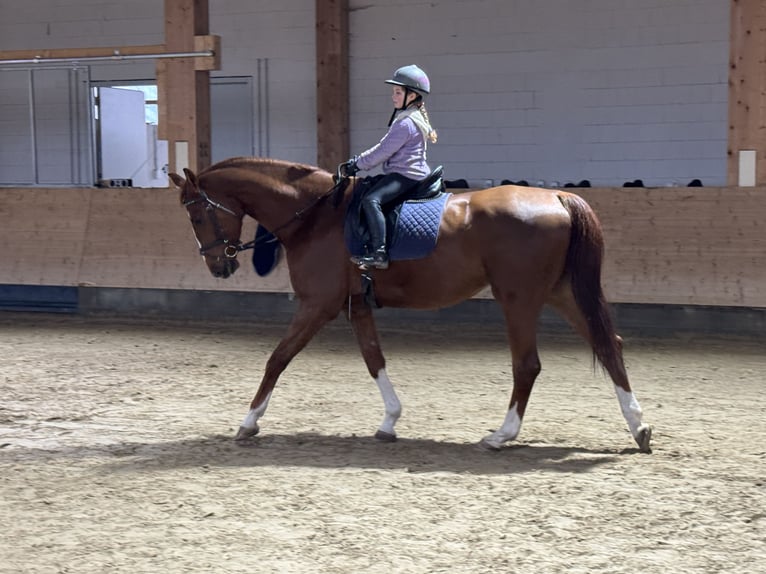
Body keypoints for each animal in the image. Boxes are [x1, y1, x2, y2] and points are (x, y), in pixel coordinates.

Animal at [170, 157, 652, 453]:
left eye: (196, 214)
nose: (218, 266)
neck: (316, 216)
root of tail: (556, 197)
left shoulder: (317, 305)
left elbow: (278, 359)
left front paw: (249, 422)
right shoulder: (355, 306)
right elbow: (373, 359)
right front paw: (389, 422)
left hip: (519, 299)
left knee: (528, 364)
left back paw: (502, 435)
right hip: (560, 293)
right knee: (610, 345)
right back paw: (639, 427)